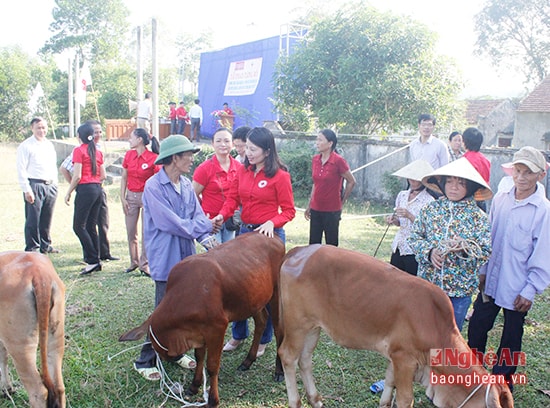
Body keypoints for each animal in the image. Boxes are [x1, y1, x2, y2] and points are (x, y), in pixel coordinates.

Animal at [0, 252, 66, 408]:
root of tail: (38, 273)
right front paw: (7, 389)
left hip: (20, 346)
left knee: (38, 391)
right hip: (55, 336)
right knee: (59, 387)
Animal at [119, 233, 286, 408]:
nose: (168, 358)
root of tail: (273, 237)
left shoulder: (217, 327)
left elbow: (212, 365)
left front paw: (213, 399)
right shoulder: (198, 332)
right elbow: (199, 357)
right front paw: (194, 385)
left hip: (276, 294)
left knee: (278, 330)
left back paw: (279, 371)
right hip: (254, 299)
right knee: (261, 321)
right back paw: (248, 361)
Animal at [278, 245, 516, 408]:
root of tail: (299, 250)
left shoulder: (396, 356)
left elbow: (389, 383)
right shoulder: (405, 359)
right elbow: (404, 399)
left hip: (313, 327)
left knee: (305, 359)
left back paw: (315, 399)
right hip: (297, 324)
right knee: (288, 356)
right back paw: (296, 402)